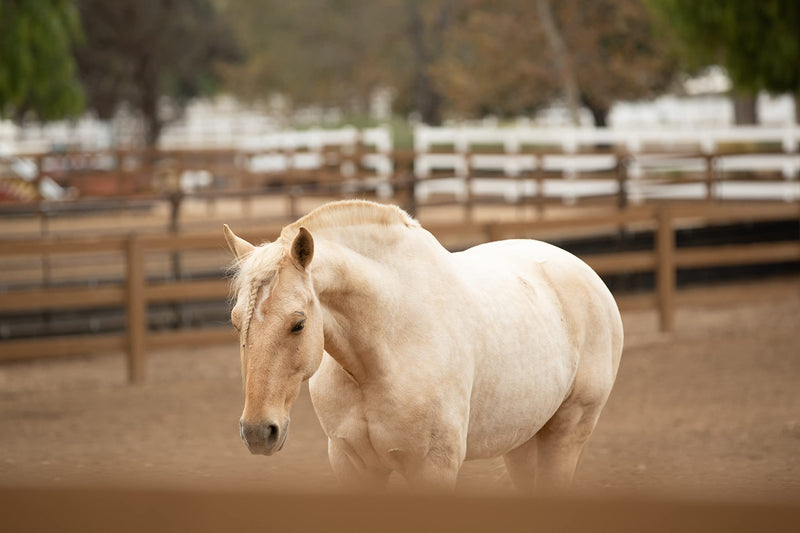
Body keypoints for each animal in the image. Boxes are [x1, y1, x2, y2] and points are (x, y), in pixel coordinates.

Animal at [224, 200, 623, 491]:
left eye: (299, 323)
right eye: (236, 321)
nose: (258, 432)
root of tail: (586, 273)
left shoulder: (433, 468)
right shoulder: (354, 466)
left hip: (566, 433)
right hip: (523, 441)